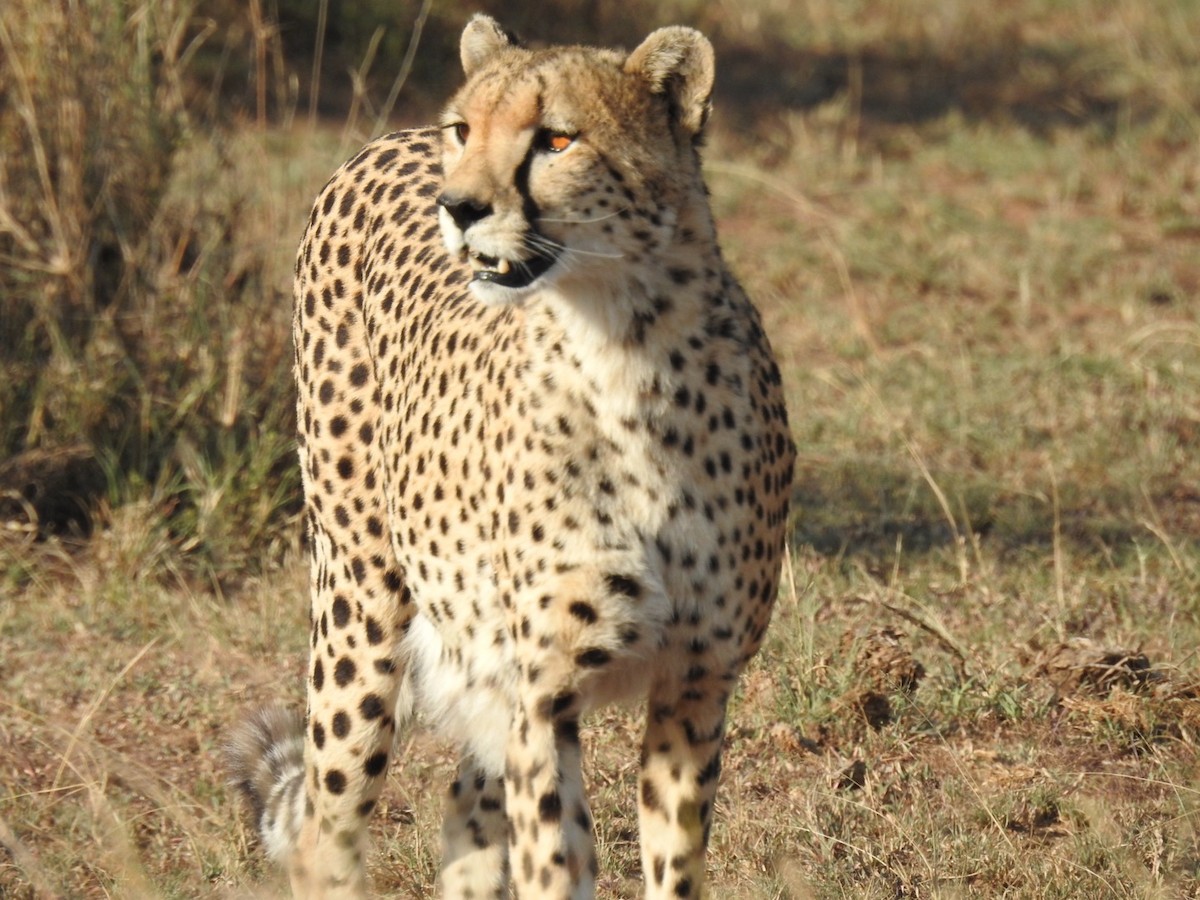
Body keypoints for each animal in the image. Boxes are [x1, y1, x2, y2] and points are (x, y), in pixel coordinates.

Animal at [227, 14, 794, 900]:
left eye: (555, 139)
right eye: (466, 129)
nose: (457, 207)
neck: (627, 350)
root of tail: (385, 141)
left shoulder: (696, 683)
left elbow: (672, 864)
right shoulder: (542, 696)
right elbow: (553, 860)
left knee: (465, 806)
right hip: (360, 605)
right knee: (330, 824)